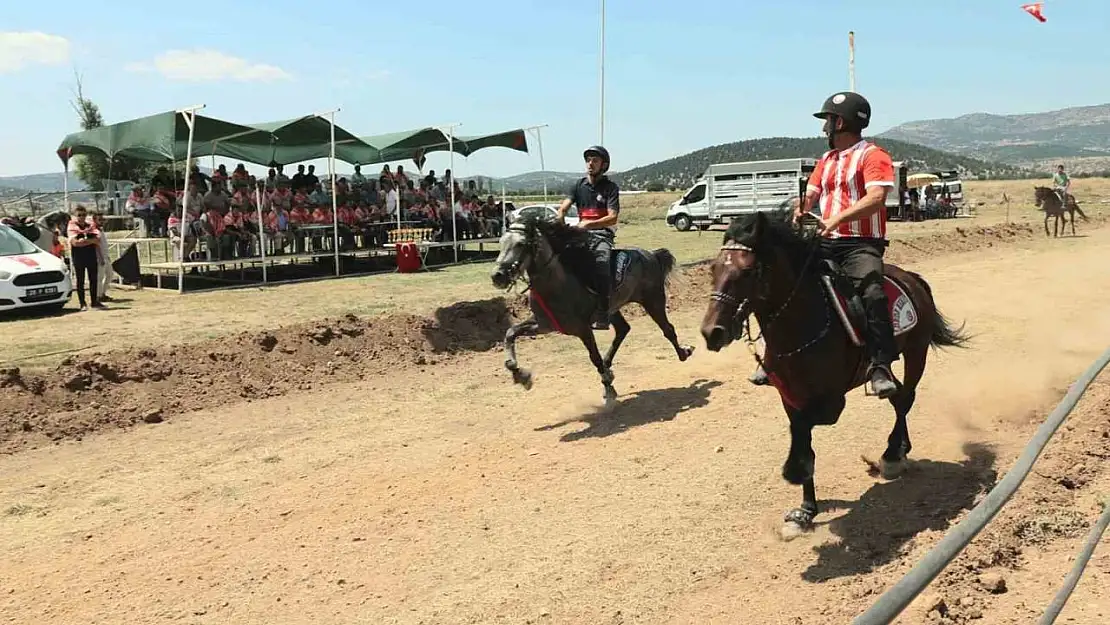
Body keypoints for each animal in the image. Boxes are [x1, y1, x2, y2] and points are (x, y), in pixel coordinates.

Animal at [488, 214, 688, 410]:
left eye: (521, 244)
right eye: (501, 241)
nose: (498, 276)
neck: (557, 284)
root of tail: (652, 254)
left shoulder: (582, 329)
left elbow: (595, 358)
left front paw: (609, 391)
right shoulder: (543, 325)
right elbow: (510, 333)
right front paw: (520, 375)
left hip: (653, 301)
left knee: (668, 329)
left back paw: (683, 353)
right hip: (613, 310)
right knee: (623, 329)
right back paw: (609, 368)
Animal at [701, 212, 972, 543]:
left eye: (749, 271)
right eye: (714, 269)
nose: (712, 332)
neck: (803, 323)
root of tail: (911, 278)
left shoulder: (831, 403)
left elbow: (803, 432)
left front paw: (794, 471)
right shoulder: (790, 396)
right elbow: (802, 437)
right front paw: (805, 511)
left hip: (916, 352)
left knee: (904, 399)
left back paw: (892, 455)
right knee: (896, 395)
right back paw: (900, 449)